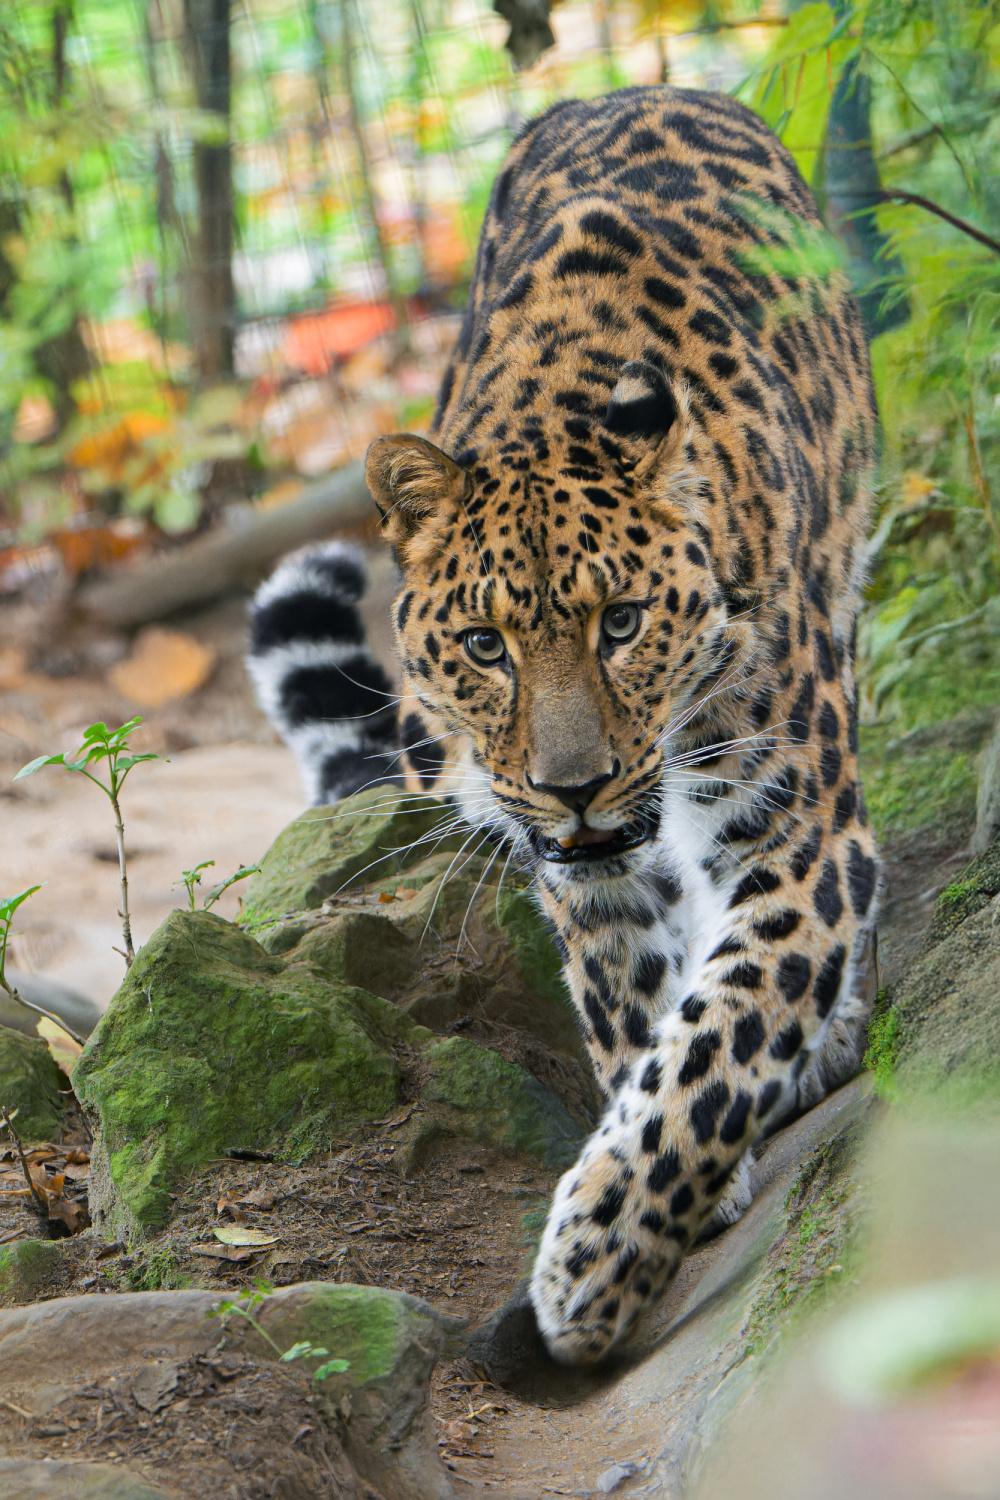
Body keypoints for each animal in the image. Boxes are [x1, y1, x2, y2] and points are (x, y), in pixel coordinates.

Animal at [245, 85, 881, 1374]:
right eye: (485, 644)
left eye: (622, 623)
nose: (571, 785)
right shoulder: (585, 877)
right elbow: (636, 1013)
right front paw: (679, 1184)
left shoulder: (797, 834)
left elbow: (721, 1037)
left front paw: (593, 1265)